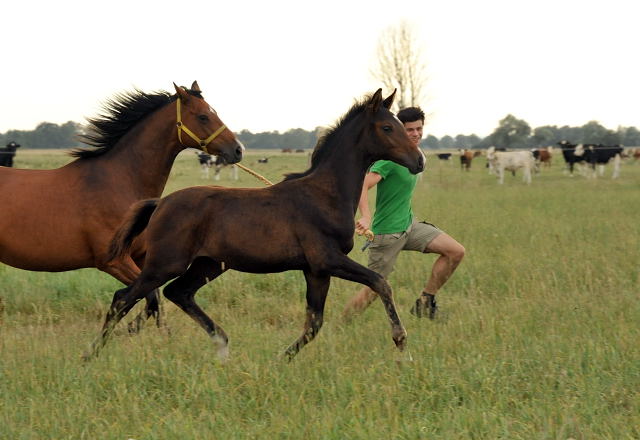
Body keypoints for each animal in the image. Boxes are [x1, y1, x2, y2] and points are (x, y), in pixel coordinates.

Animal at [0, 81, 244, 328]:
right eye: (203, 116)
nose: (237, 149)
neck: (120, 182)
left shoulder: (144, 259)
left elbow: (152, 302)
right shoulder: (114, 261)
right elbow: (147, 298)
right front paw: (131, 330)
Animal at [86, 88, 424, 360]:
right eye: (387, 127)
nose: (419, 161)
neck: (324, 193)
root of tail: (161, 203)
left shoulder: (315, 270)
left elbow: (313, 324)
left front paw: (280, 360)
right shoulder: (327, 259)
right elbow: (380, 282)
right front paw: (401, 342)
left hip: (208, 264)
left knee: (177, 293)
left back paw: (222, 346)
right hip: (165, 263)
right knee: (124, 298)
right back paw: (91, 356)